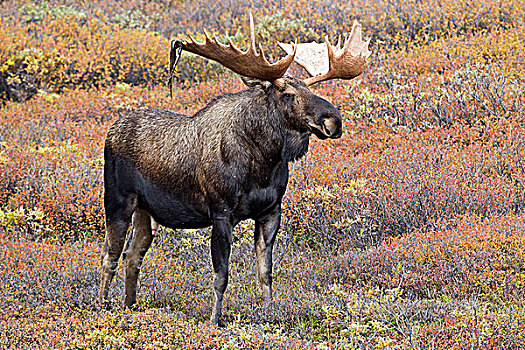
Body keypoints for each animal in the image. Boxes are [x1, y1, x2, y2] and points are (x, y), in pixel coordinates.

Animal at [98, 13, 368, 326]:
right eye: (287, 94)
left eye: (310, 89)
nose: (333, 120)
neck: (263, 163)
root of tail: (111, 131)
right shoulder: (221, 213)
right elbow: (221, 275)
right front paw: (215, 320)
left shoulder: (270, 211)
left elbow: (265, 272)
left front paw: (270, 312)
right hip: (117, 200)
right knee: (109, 254)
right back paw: (102, 306)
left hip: (146, 210)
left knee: (133, 255)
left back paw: (129, 306)